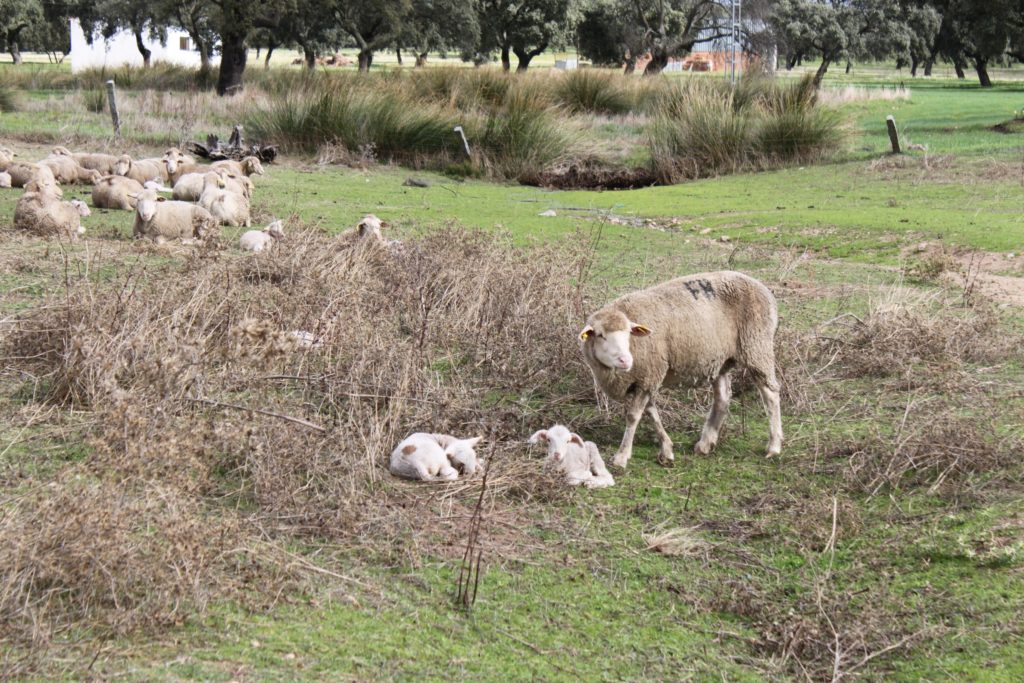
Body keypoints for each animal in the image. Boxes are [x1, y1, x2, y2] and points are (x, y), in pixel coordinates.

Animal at [577, 272, 782, 471]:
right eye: (600, 335)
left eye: (628, 333)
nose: (625, 360)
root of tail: (763, 288)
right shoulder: (647, 379)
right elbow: (651, 413)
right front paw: (667, 450)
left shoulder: (648, 375)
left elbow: (633, 416)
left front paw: (621, 457)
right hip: (720, 358)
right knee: (723, 397)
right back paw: (705, 444)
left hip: (756, 345)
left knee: (770, 393)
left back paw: (774, 447)